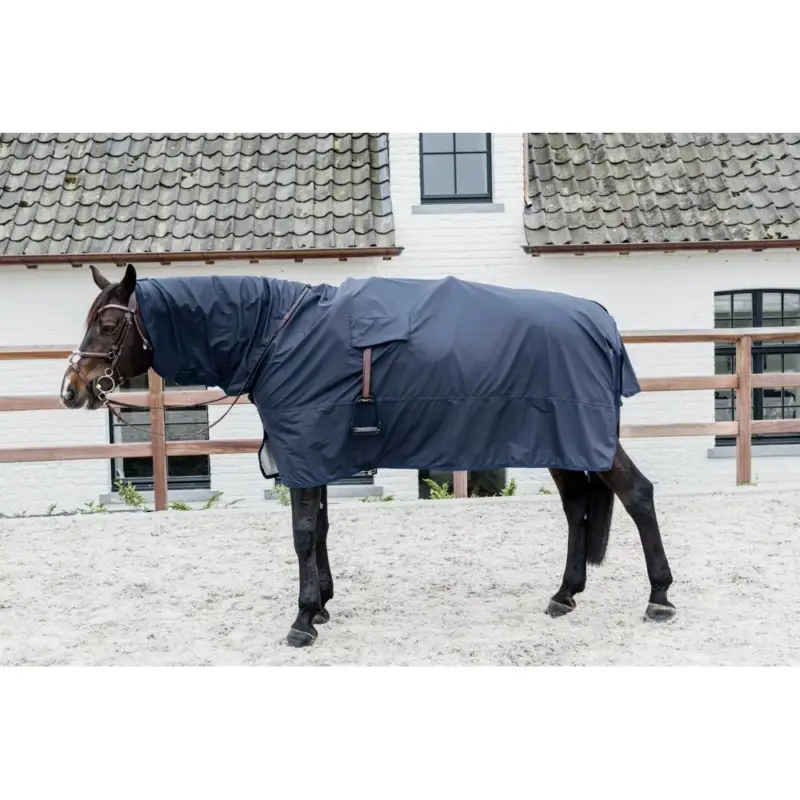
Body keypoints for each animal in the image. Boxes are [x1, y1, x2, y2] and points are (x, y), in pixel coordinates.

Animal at [60, 263, 675, 648]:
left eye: (108, 324)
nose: (71, 389)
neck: (276, 335)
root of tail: (600, 317)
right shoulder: (314, 453)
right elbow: (321, 530)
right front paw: (323, 604)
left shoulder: (304, 449)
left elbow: (303, 533)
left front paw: (303, 619)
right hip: (564, 444)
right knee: (577, 509)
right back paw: (565, 595)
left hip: (582, 438)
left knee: (637, 495)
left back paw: (660, 598)